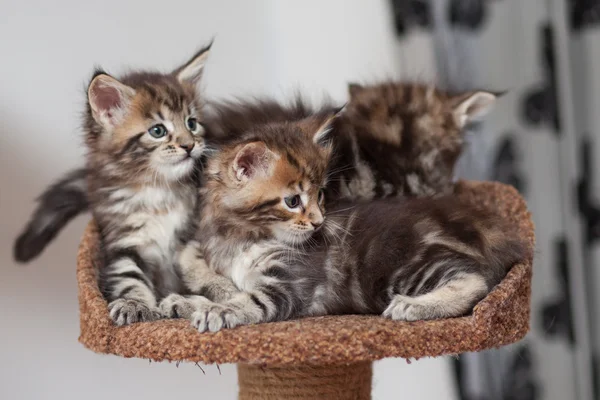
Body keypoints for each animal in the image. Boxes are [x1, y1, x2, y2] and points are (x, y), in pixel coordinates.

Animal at [158, 108, 524, 330]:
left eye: (321, 194)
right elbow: (227, 290)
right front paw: (185, 302)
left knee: (476, 279)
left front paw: (216, 311)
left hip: (400, 263)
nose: (319, 222)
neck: (246, 236)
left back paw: (413, 306)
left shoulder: (286, 287)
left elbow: (247, 301)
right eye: (293, 201)